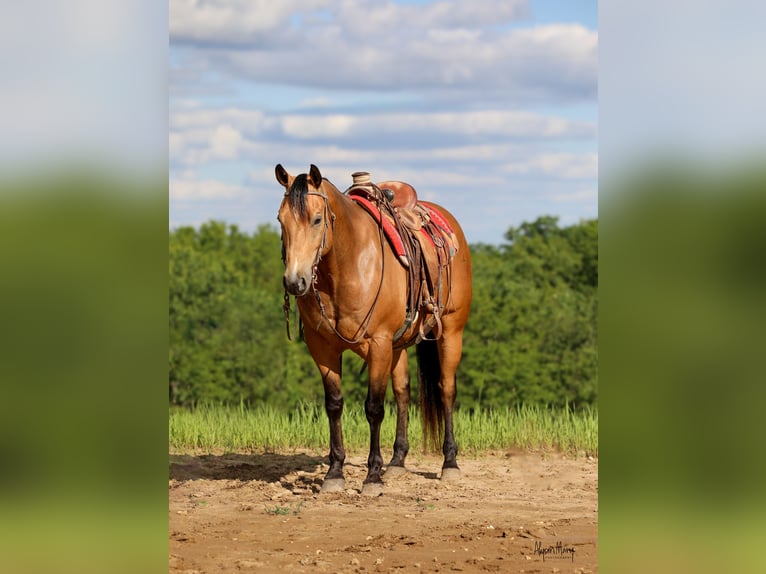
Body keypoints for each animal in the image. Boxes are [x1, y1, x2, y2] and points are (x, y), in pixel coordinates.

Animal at [272, 164, 472, 498]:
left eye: (316, 219)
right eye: (280, 219)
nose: (295, 281)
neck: (346, 264)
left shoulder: (378, 343)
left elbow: (374, 408)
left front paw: (372, 476)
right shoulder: (323, 347)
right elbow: (334, 405)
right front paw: (335, 473)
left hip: (450, 333)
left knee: (446, 390)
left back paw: (450, 463)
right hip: (398, 345)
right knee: (403, 391)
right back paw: (397, 461)